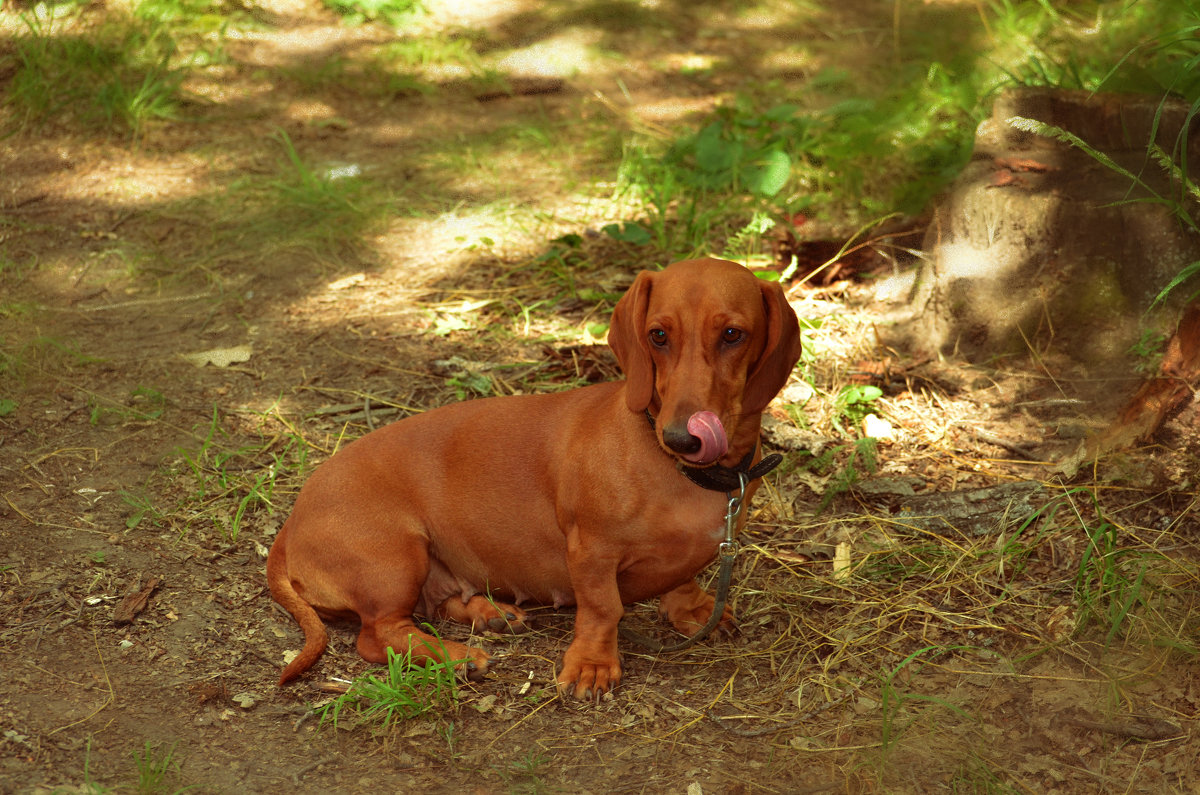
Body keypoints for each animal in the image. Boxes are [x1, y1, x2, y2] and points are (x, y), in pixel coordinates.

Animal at [267, 258, 801, 701]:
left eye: (732, 334)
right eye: (657, 335)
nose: (682, 438)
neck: (683, 474)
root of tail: (291, 522)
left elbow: (685, 578)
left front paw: (692, 610)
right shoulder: (591, 552)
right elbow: (603, 609)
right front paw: (592, 666)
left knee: (433, 607)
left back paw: (490, 613)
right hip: (396, 559)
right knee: (379, 636)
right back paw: (456, 657)